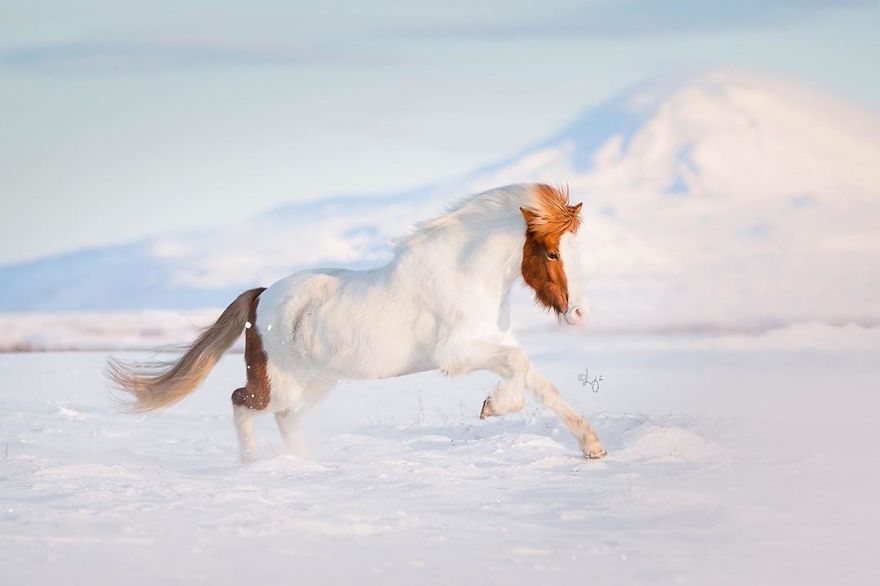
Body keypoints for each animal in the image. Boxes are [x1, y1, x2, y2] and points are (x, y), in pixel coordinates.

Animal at [107, 183, 606, 461]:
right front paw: (492, 407)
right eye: (552, 252)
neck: (464, 274)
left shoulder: (493, 345)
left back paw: (309, 465)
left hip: (315, 383)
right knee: (242, 402)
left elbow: (542, 384)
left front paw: (593, 447)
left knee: (284, 418)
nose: (579, 312)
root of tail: (261, 296)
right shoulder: (456, 354)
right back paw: (253, 466)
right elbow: (520, 369)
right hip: (280, 382)